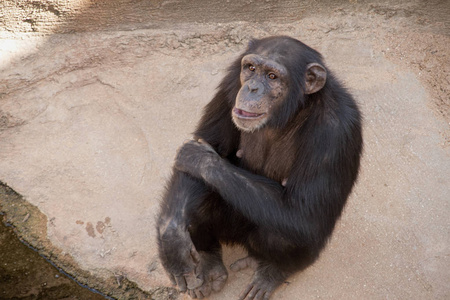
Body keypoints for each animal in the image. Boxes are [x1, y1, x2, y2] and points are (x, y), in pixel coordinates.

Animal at [156, 35, 364, 300]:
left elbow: (305, 213)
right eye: (251, 69)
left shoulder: (336, 130)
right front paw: (171, 238)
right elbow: (206, 142)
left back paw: (271, 272)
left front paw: (198, 158)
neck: (293, 110)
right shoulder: (230, 83)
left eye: (272, 76)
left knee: (284, 231)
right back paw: (208, 262)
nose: (252, 88)